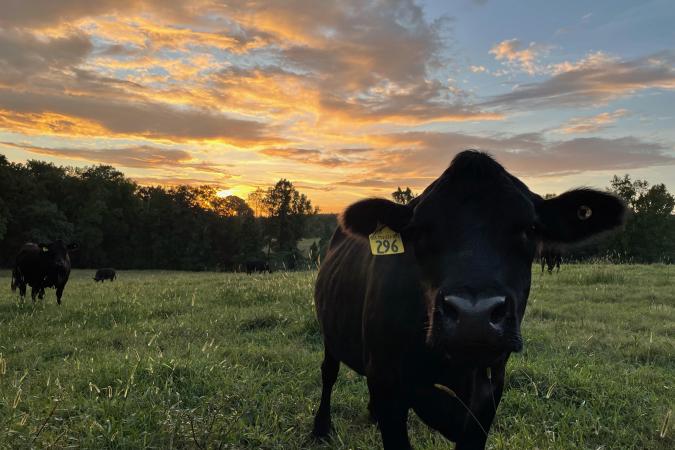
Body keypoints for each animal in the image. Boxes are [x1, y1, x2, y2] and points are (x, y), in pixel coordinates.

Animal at [312, 151, 625, 449]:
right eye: (420, 231)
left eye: (530, 229)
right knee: (329, 372)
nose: (474, 316)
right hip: (330, 334)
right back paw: (321, 429)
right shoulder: (386, 377)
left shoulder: (491, 386)